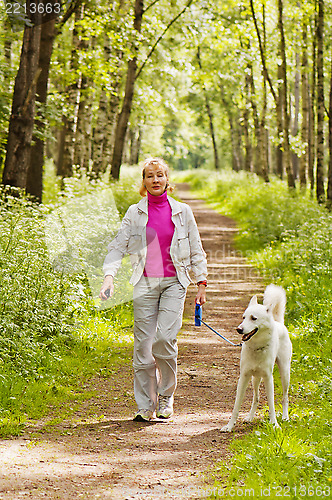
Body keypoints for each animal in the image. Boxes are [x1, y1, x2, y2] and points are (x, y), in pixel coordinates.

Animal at [222, 284, 292, 432]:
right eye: (243, 317)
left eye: (253, 318)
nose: (239, 329)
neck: (257, 347)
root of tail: (278, 323)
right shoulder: (243, 377)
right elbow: (236, 406)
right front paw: (230, 426)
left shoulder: (268, 378)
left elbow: (271, 405)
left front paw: (274, 424)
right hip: (255, 379)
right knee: (256, 398)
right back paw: (250, 417)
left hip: (285, 373)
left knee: (285, 397)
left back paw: (285, 417)